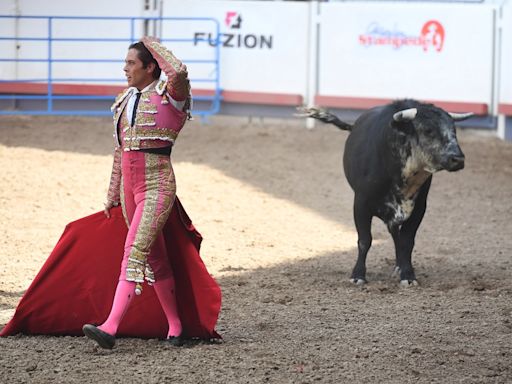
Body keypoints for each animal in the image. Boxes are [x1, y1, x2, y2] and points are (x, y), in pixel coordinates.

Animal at [298, 99, 474, 284]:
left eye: (454, 130)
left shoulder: (419, 207)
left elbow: (407, 241)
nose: (458, 159)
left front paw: (407, 274)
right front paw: (358, 275)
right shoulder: (360, 204)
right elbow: (365, 240)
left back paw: (399, 266)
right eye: (428, 130)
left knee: (397, 235)